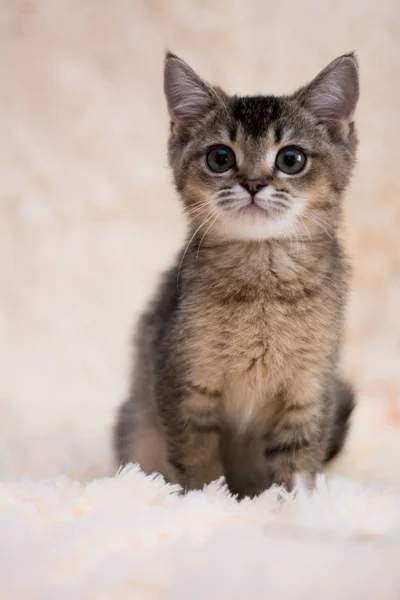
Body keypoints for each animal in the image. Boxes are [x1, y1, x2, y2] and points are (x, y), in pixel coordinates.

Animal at [115, 52, 356, 496]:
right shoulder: (182, 382)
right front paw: (208, 500)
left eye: (291, 159)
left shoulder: (311, 389)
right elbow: (197, 462)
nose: (254, 183)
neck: (262, 288)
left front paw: (292, 504)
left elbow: (299, 463)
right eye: (220, 158)